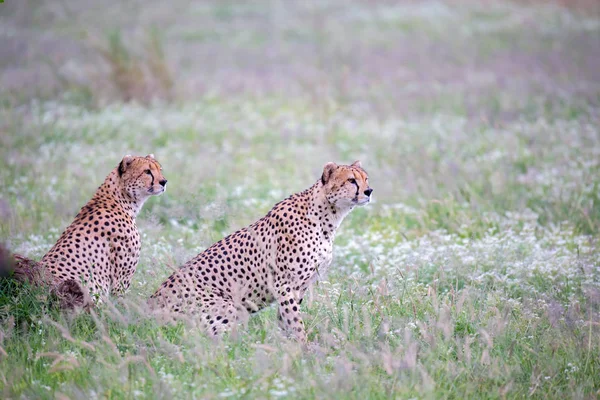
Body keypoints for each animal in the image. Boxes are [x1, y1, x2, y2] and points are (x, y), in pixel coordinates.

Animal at [9, 155, 168, 308]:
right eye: (147, 171)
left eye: (160, 169)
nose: (164, 182)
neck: (120, 199)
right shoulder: (120, 282)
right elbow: (121, 307)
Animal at [151, 161, 370, 342]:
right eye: (351, 180)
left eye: (366, 178)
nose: (369, 191)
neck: (327, 217)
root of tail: (148, 305)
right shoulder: (284, 284)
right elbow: (295, 320)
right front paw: (304, 348)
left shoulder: (298, 286)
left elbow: (286, 318)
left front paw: (286, 345)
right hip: (226, 306)